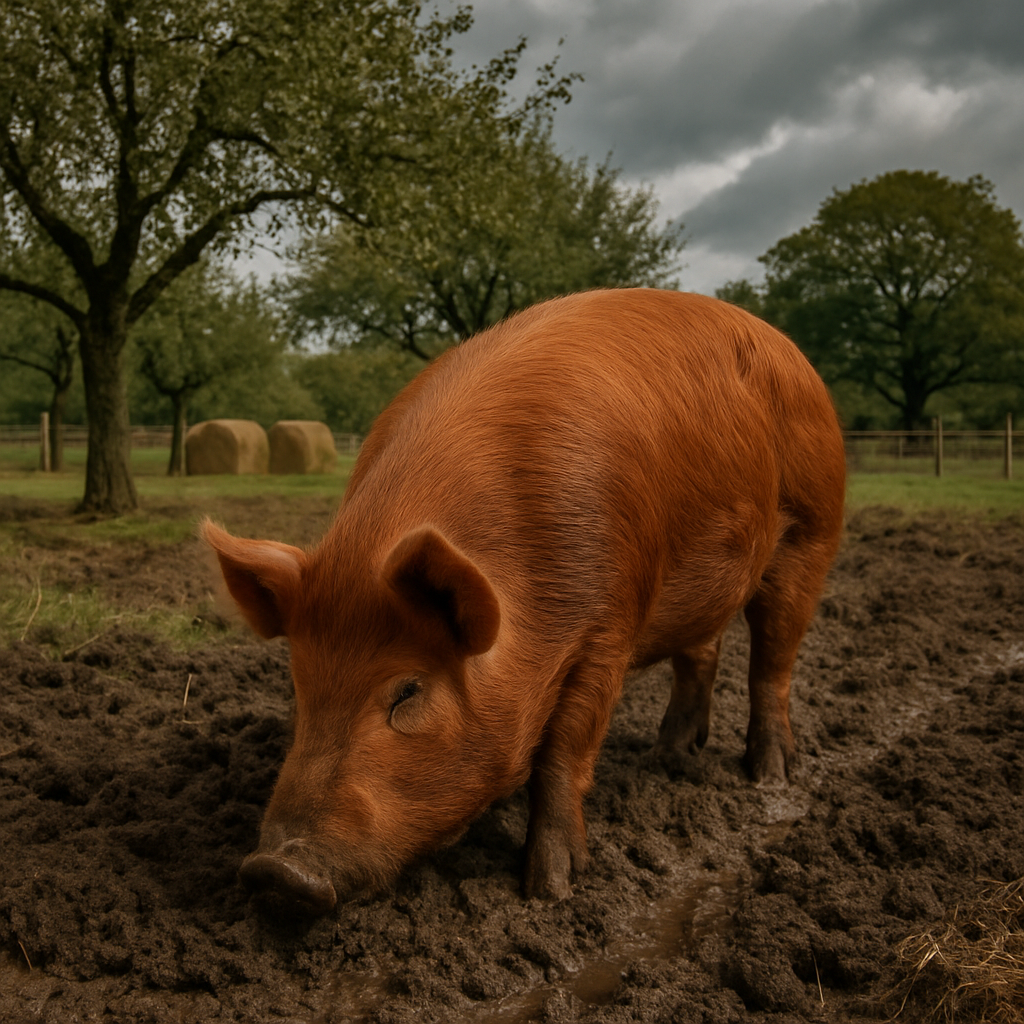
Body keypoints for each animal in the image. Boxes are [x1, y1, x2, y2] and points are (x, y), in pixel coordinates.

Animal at [203, 288, 846, 915]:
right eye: (300, 685)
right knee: (702, 653)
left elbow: (563, 752)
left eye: (408, 691)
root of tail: (786, 346)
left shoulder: (608, 625)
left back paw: (769, 778)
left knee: (773, 661)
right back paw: (669, 756)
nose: (276, 871)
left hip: (812, 529)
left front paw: (551, 891)